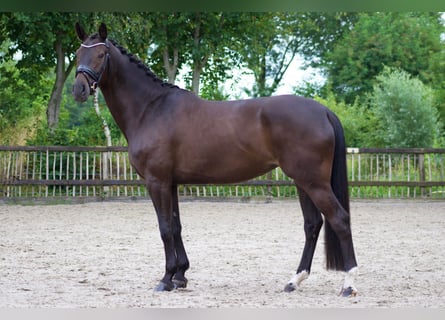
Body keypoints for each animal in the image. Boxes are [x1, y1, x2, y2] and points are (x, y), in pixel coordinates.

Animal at [72, 23, 358, 298]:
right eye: (76, 54)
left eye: (101, 54)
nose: (78, 90)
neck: (151, 108)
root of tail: (323, 111)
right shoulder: (171, 183)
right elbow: (176, 226)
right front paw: (180, 277)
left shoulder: (157, 182)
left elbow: (165, 228)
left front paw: (165, 279)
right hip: (302, 182)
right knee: (313, 225)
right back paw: (293, 281)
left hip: (313, 182)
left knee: (340, 220)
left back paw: (348, 284)